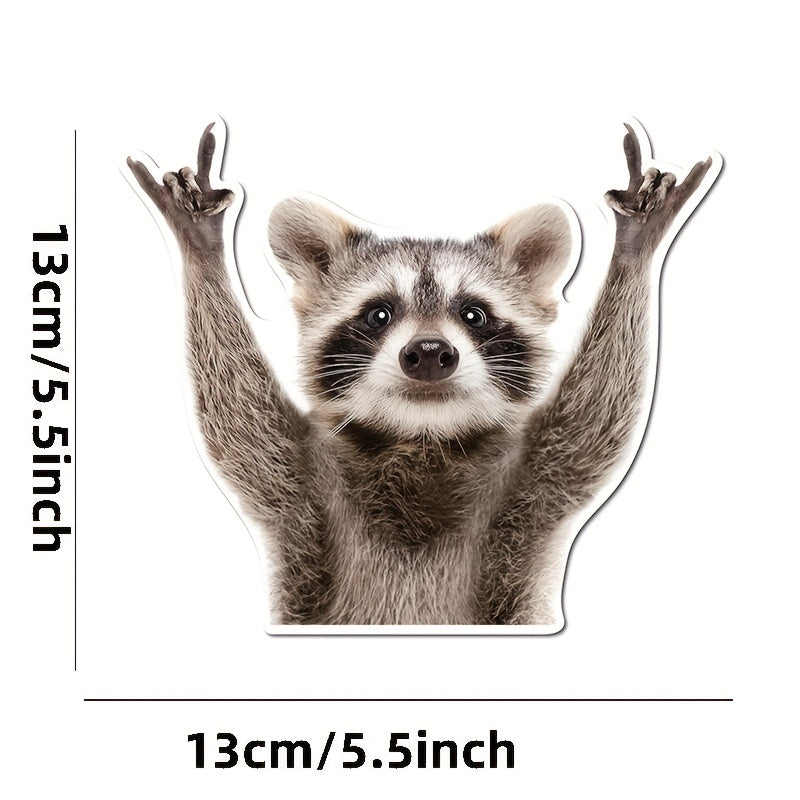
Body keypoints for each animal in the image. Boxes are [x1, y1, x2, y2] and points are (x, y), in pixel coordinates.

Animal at [127, 122, 716, 626]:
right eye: (378, 314)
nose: (430, 352)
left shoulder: (532, 486)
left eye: (474, 314)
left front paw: (634, 250)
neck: (422, 436)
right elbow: (238, 420)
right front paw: (201, 250)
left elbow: (595, 421)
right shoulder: (301, 488)